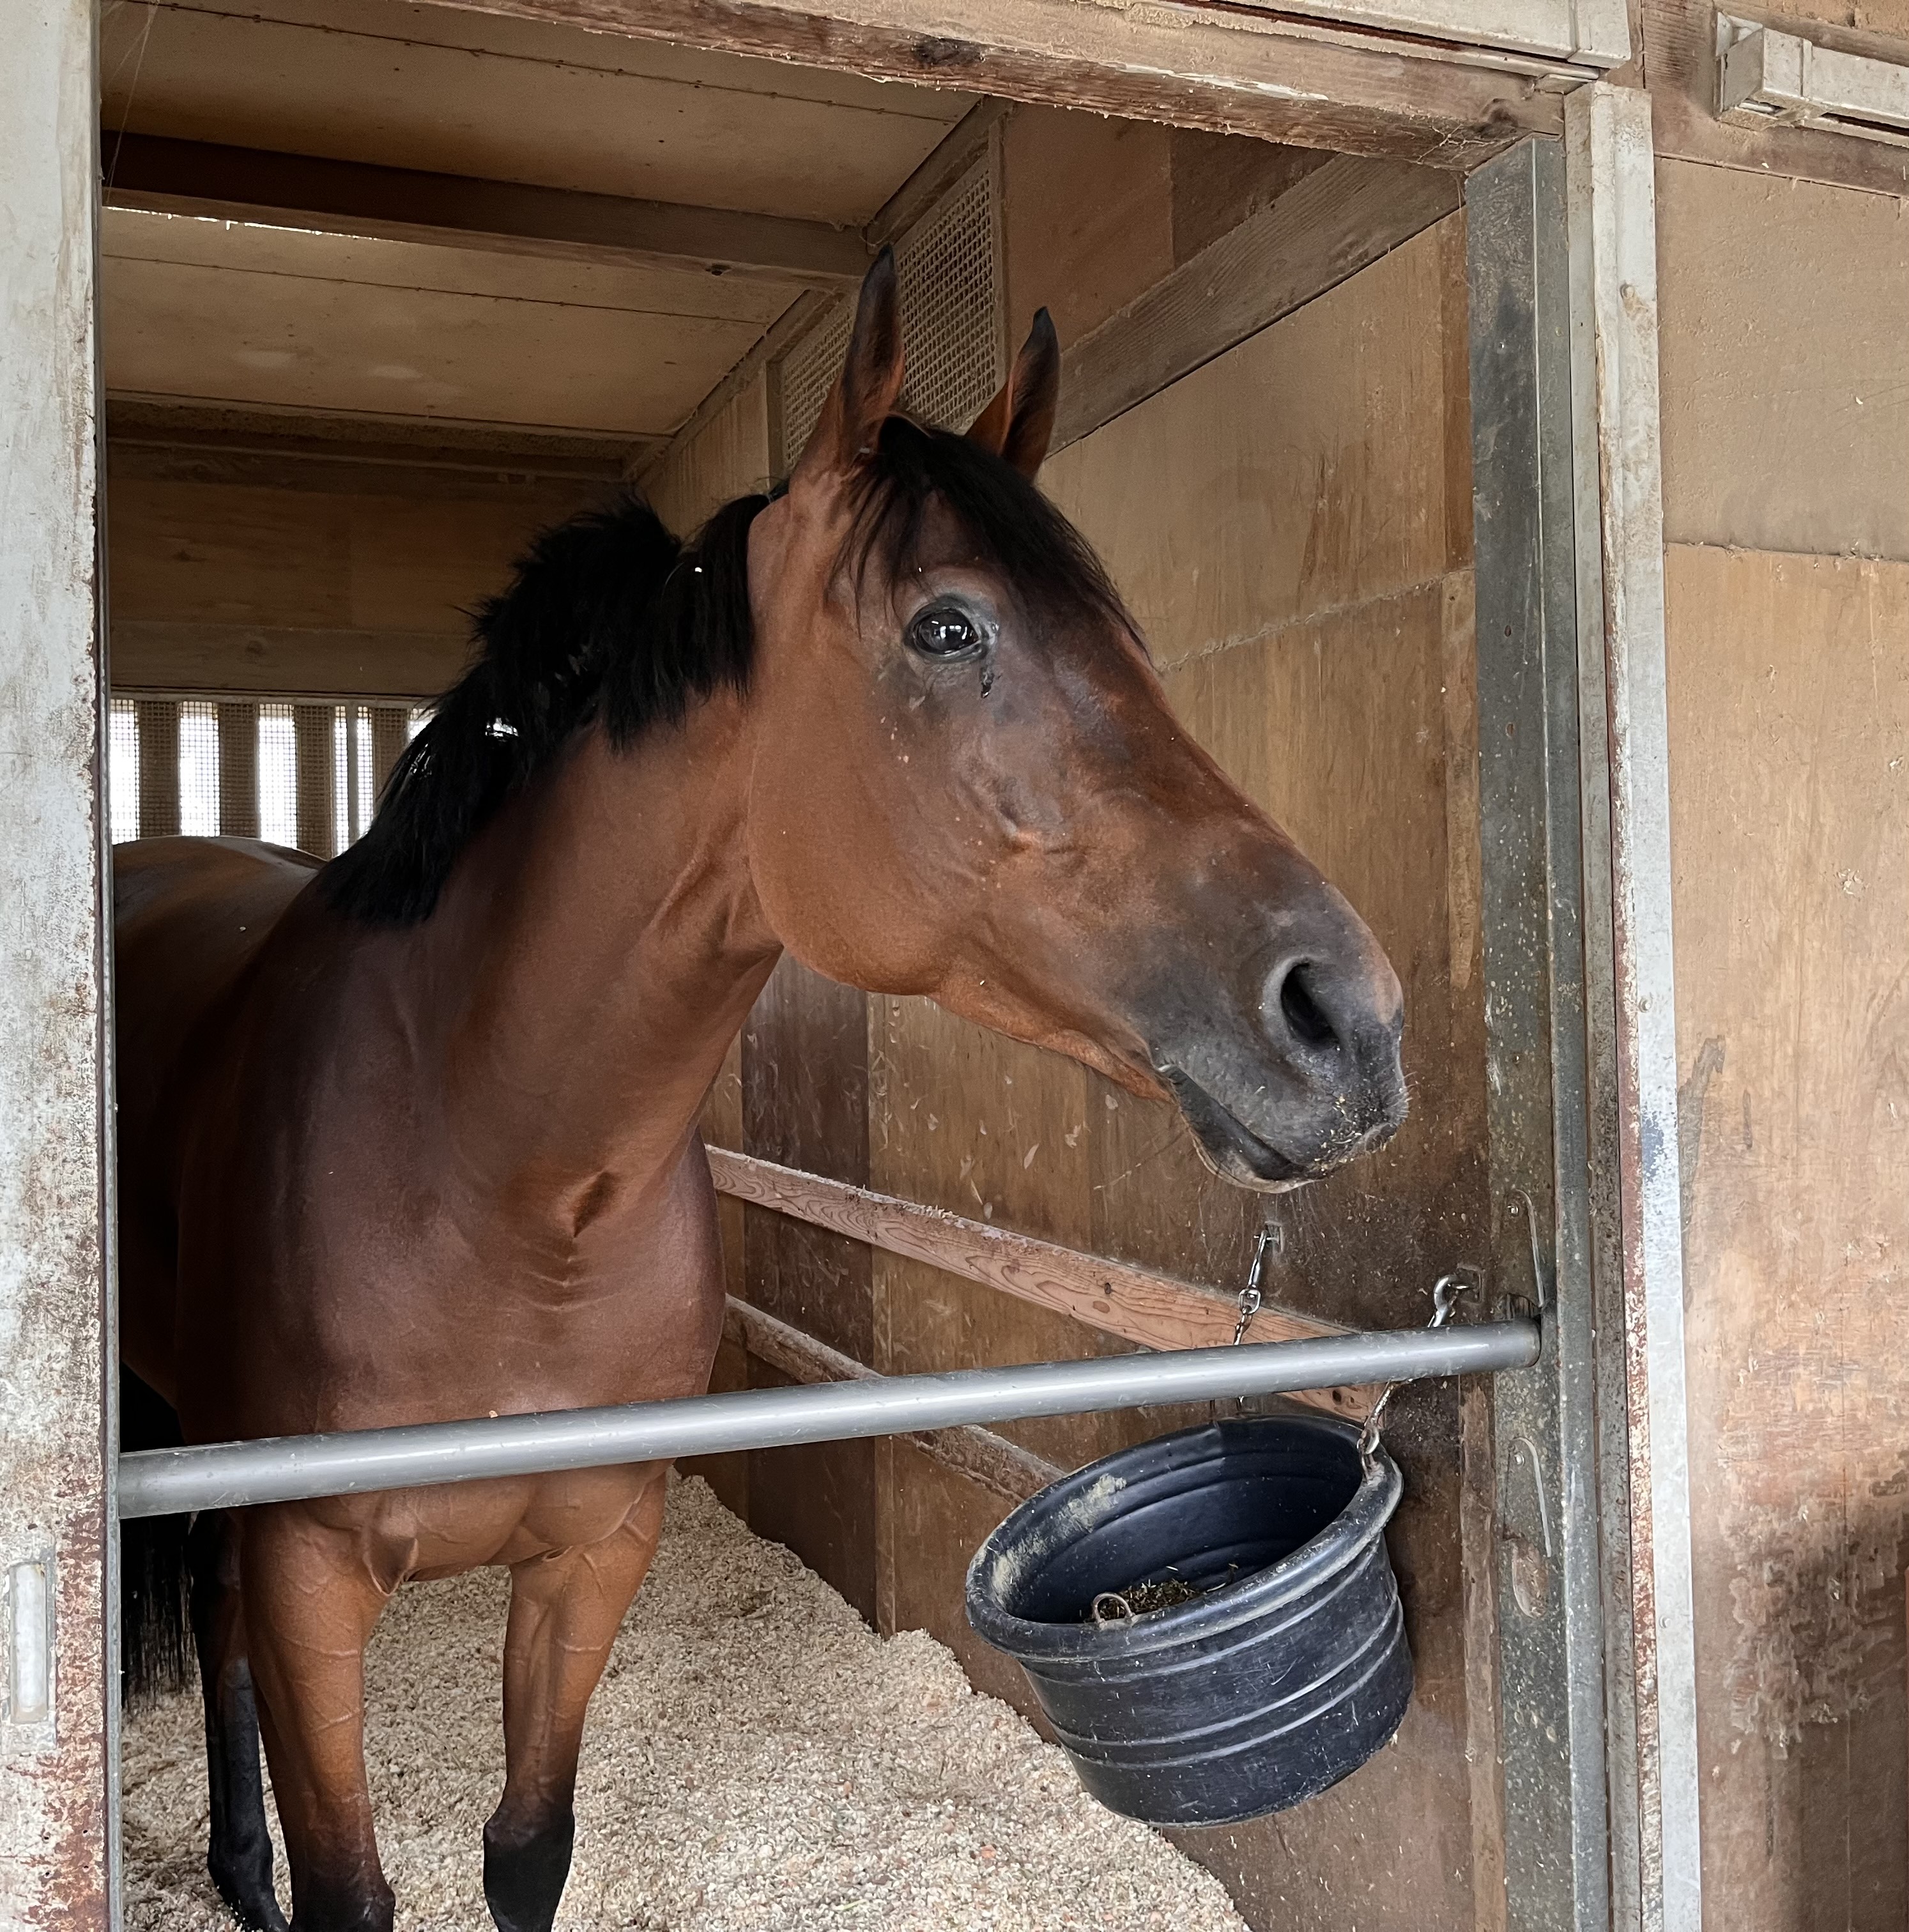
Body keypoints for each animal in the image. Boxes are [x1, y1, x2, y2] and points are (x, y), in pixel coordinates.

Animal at [115, 248, 1407, 1932]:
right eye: (945, 630)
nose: (1346, 1018)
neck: (497, 1179)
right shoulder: (310, 1571)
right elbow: (355, 1889)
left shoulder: (596, 1546)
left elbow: (526, 1849)